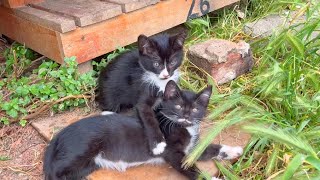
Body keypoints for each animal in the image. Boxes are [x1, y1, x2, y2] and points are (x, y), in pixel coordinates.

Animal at [43, 81, 242, 180]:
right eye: (178, 106)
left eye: (194, 109)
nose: (186, 116)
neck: (183, 127)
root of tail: (60, 134)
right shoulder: (173, 152)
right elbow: (191, 169)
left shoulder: (191, 148)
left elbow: (209, 148)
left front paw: (233, 150)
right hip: (81, 150)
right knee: (54, 172)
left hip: (90, 164)